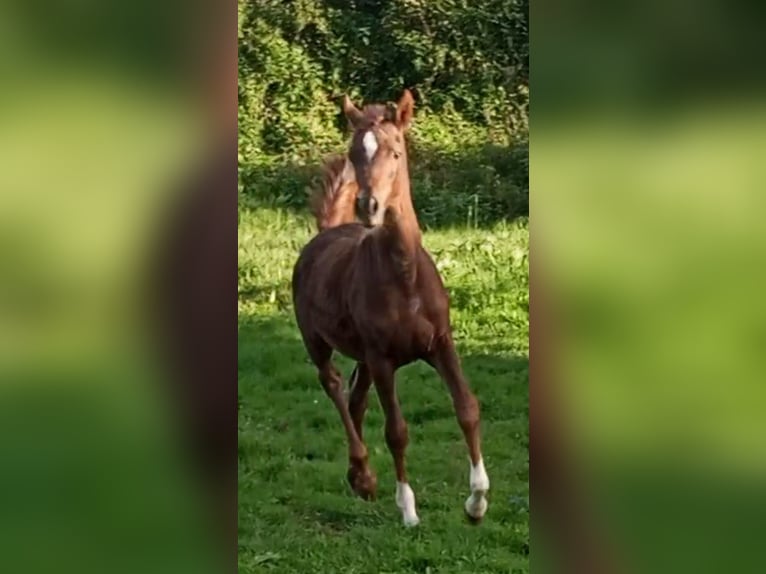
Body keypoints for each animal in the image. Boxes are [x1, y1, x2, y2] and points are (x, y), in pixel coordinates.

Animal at [292, 89, 488, 528]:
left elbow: (467, 407)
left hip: (364, 357)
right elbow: (396, 431)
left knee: (355, 398)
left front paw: (477, 502)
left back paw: (358, 476)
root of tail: (327, 232)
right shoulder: (383, 359)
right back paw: (364, 475)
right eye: (354, 152)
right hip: (318, 341)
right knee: (333, 385)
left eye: (396, 151)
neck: (404, 276)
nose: (369, 205)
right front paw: (409, 510)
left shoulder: (441, 344)